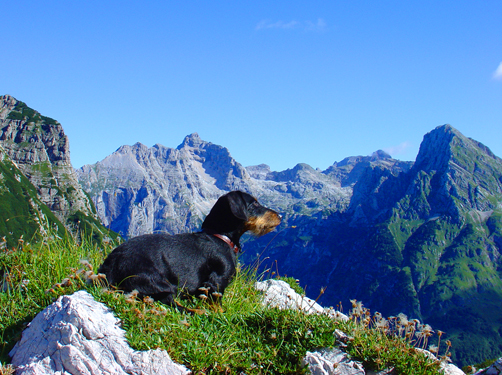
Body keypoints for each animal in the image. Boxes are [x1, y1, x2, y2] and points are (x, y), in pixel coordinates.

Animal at [96, 192, 280, 310]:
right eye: (254, 203)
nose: (280, 216)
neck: (219, 236)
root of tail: (109, 268)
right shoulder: (215, 283)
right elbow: (217, 306)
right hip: (159, 282)